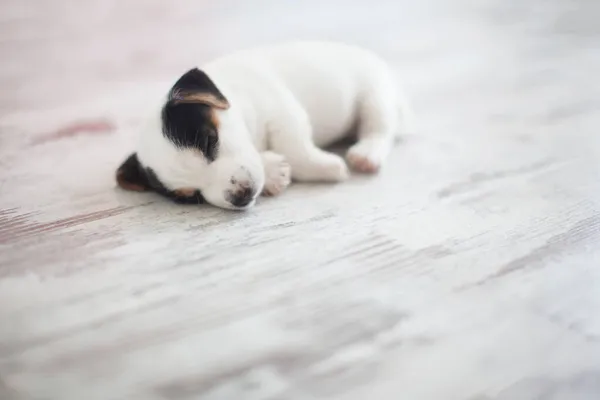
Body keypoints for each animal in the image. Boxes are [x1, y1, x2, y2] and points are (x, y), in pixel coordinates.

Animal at [118, 40, 418, 209]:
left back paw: (366, 154)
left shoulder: (284, 114)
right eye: (190, 197)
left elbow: (297, 150)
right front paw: (274, 172)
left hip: (375, 94)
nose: (239, 196)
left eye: (208, 141)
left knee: (379, 128)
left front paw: (328, 167)